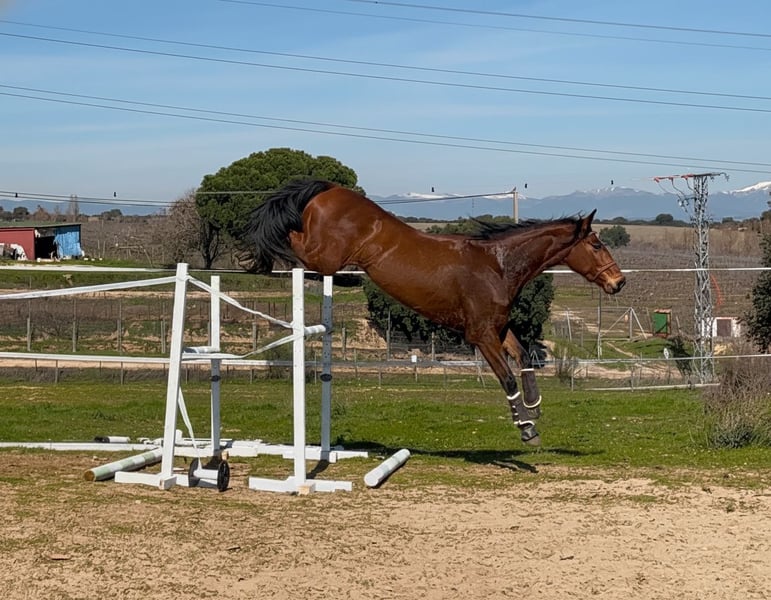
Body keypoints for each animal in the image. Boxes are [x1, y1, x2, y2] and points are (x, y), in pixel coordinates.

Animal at [240, 179, 625, 446]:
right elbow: (507, 378)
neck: (498, 266)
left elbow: (524, 356)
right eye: (596, 244)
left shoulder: (497, 328)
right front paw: (527, 428)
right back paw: (255, 256)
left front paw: (535, 405)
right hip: (325, 254)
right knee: (295, 244)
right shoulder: (481, 335)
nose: (618, 282)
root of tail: (330, 189)